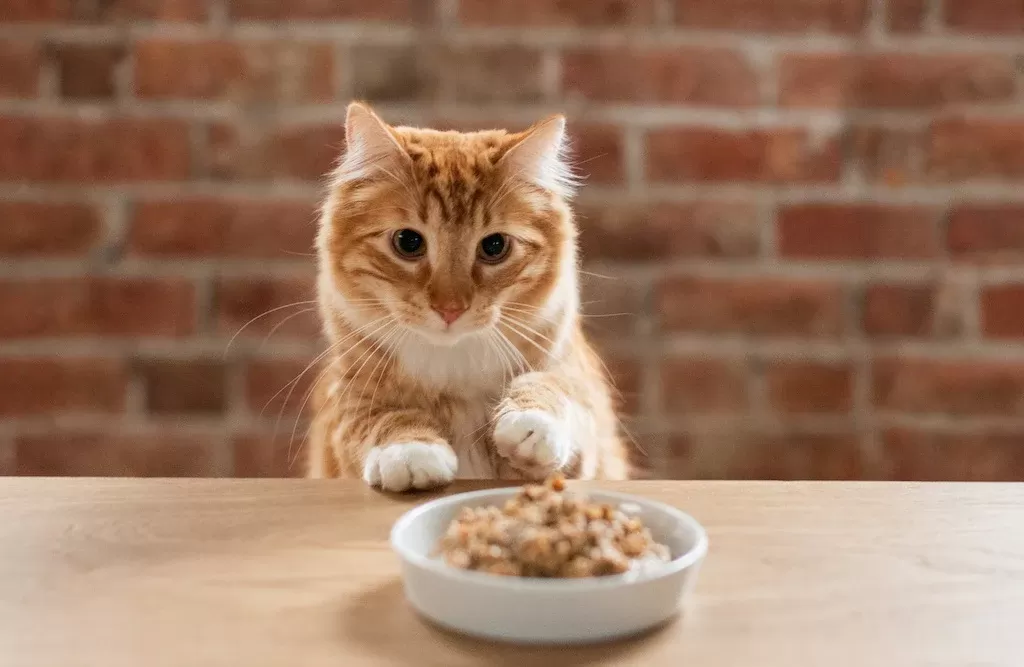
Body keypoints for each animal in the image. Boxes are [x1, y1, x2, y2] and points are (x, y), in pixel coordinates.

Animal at [303, 102, 626, 489]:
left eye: (495, 246)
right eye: (408, 242)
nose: (450, 308)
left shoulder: (582, 414)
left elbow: (558, 389)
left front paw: (533, 421)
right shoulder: (346, 401)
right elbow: (376, 418)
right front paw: (410, 450)